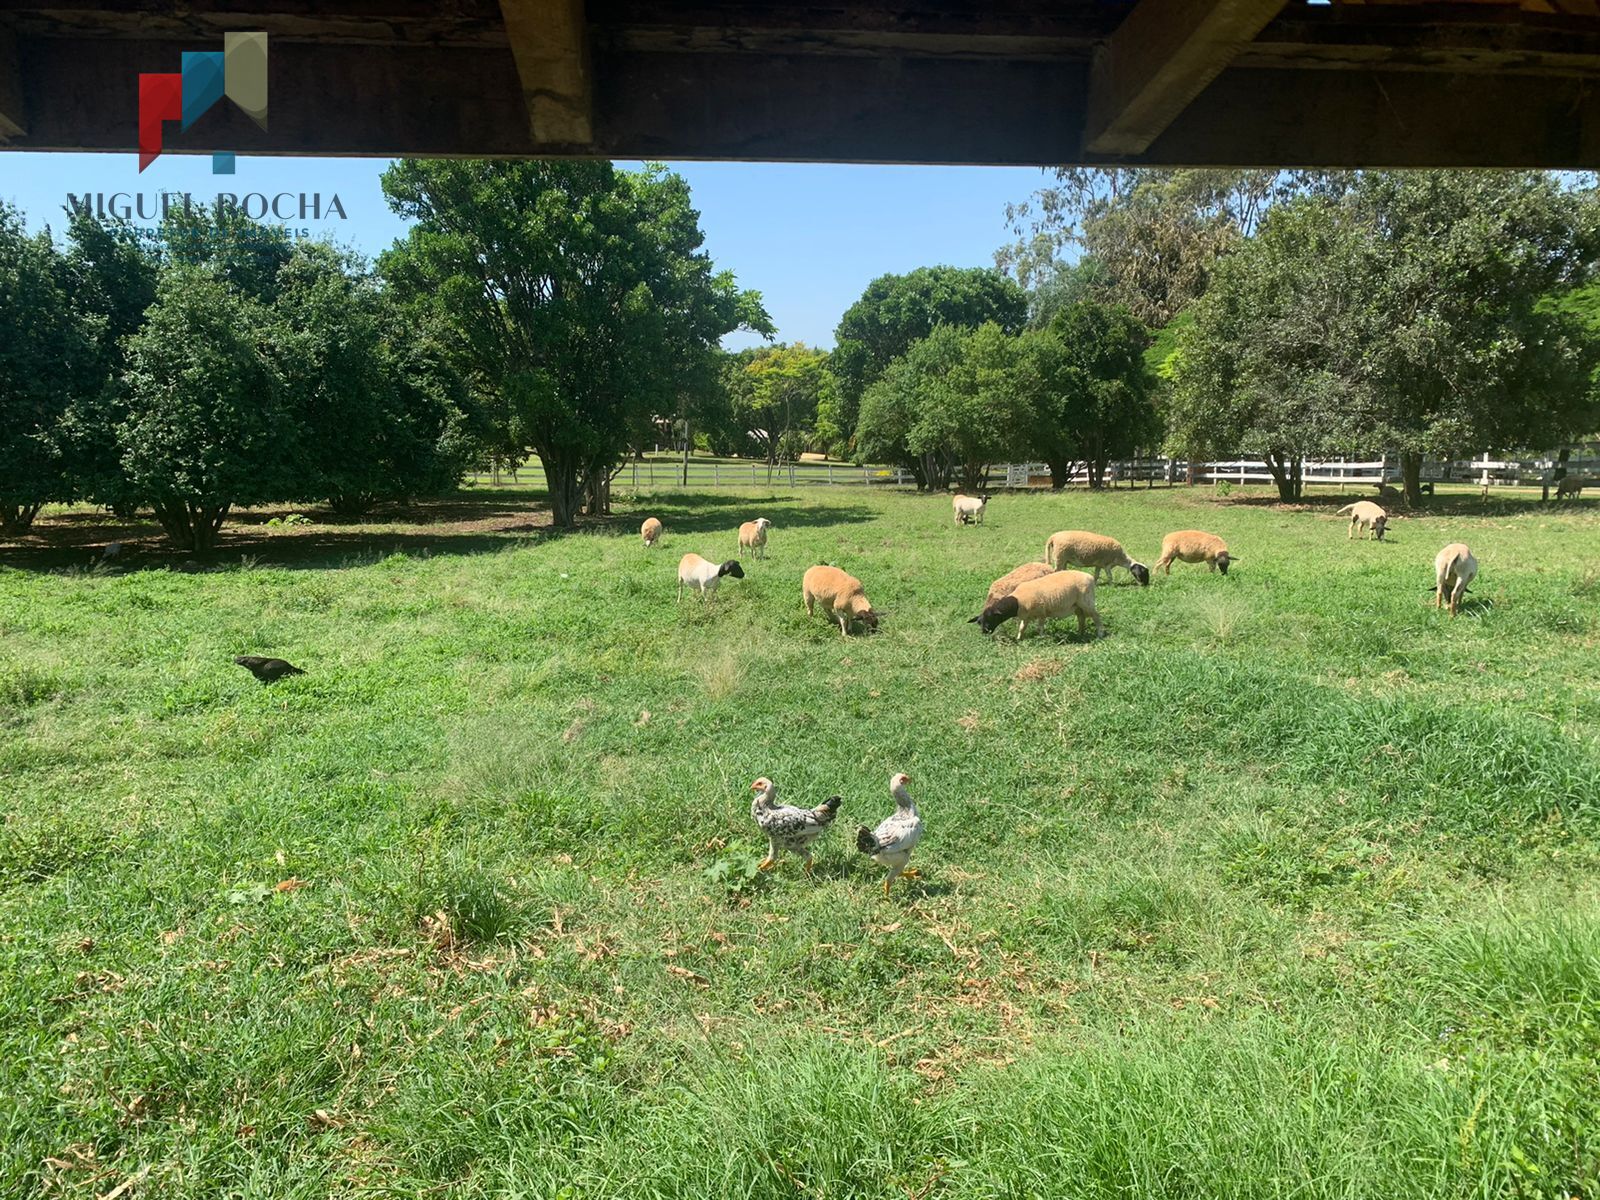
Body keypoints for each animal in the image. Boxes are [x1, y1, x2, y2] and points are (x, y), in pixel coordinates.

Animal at [960, 569, 1100, 643]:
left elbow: (1040, 628)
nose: (984, 632)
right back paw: (1080, 633)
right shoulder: (1025, 617)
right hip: (1077, 605)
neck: (1017, 602)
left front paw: (1043, 638)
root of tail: (1089, 577)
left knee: (1096, 616)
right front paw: (1019, 639)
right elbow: (1022, 628)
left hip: (1086, 601)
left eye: (991, 618)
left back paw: (1100, 633)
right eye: (979, 622)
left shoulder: (1042, 612)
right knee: (1081, 618)